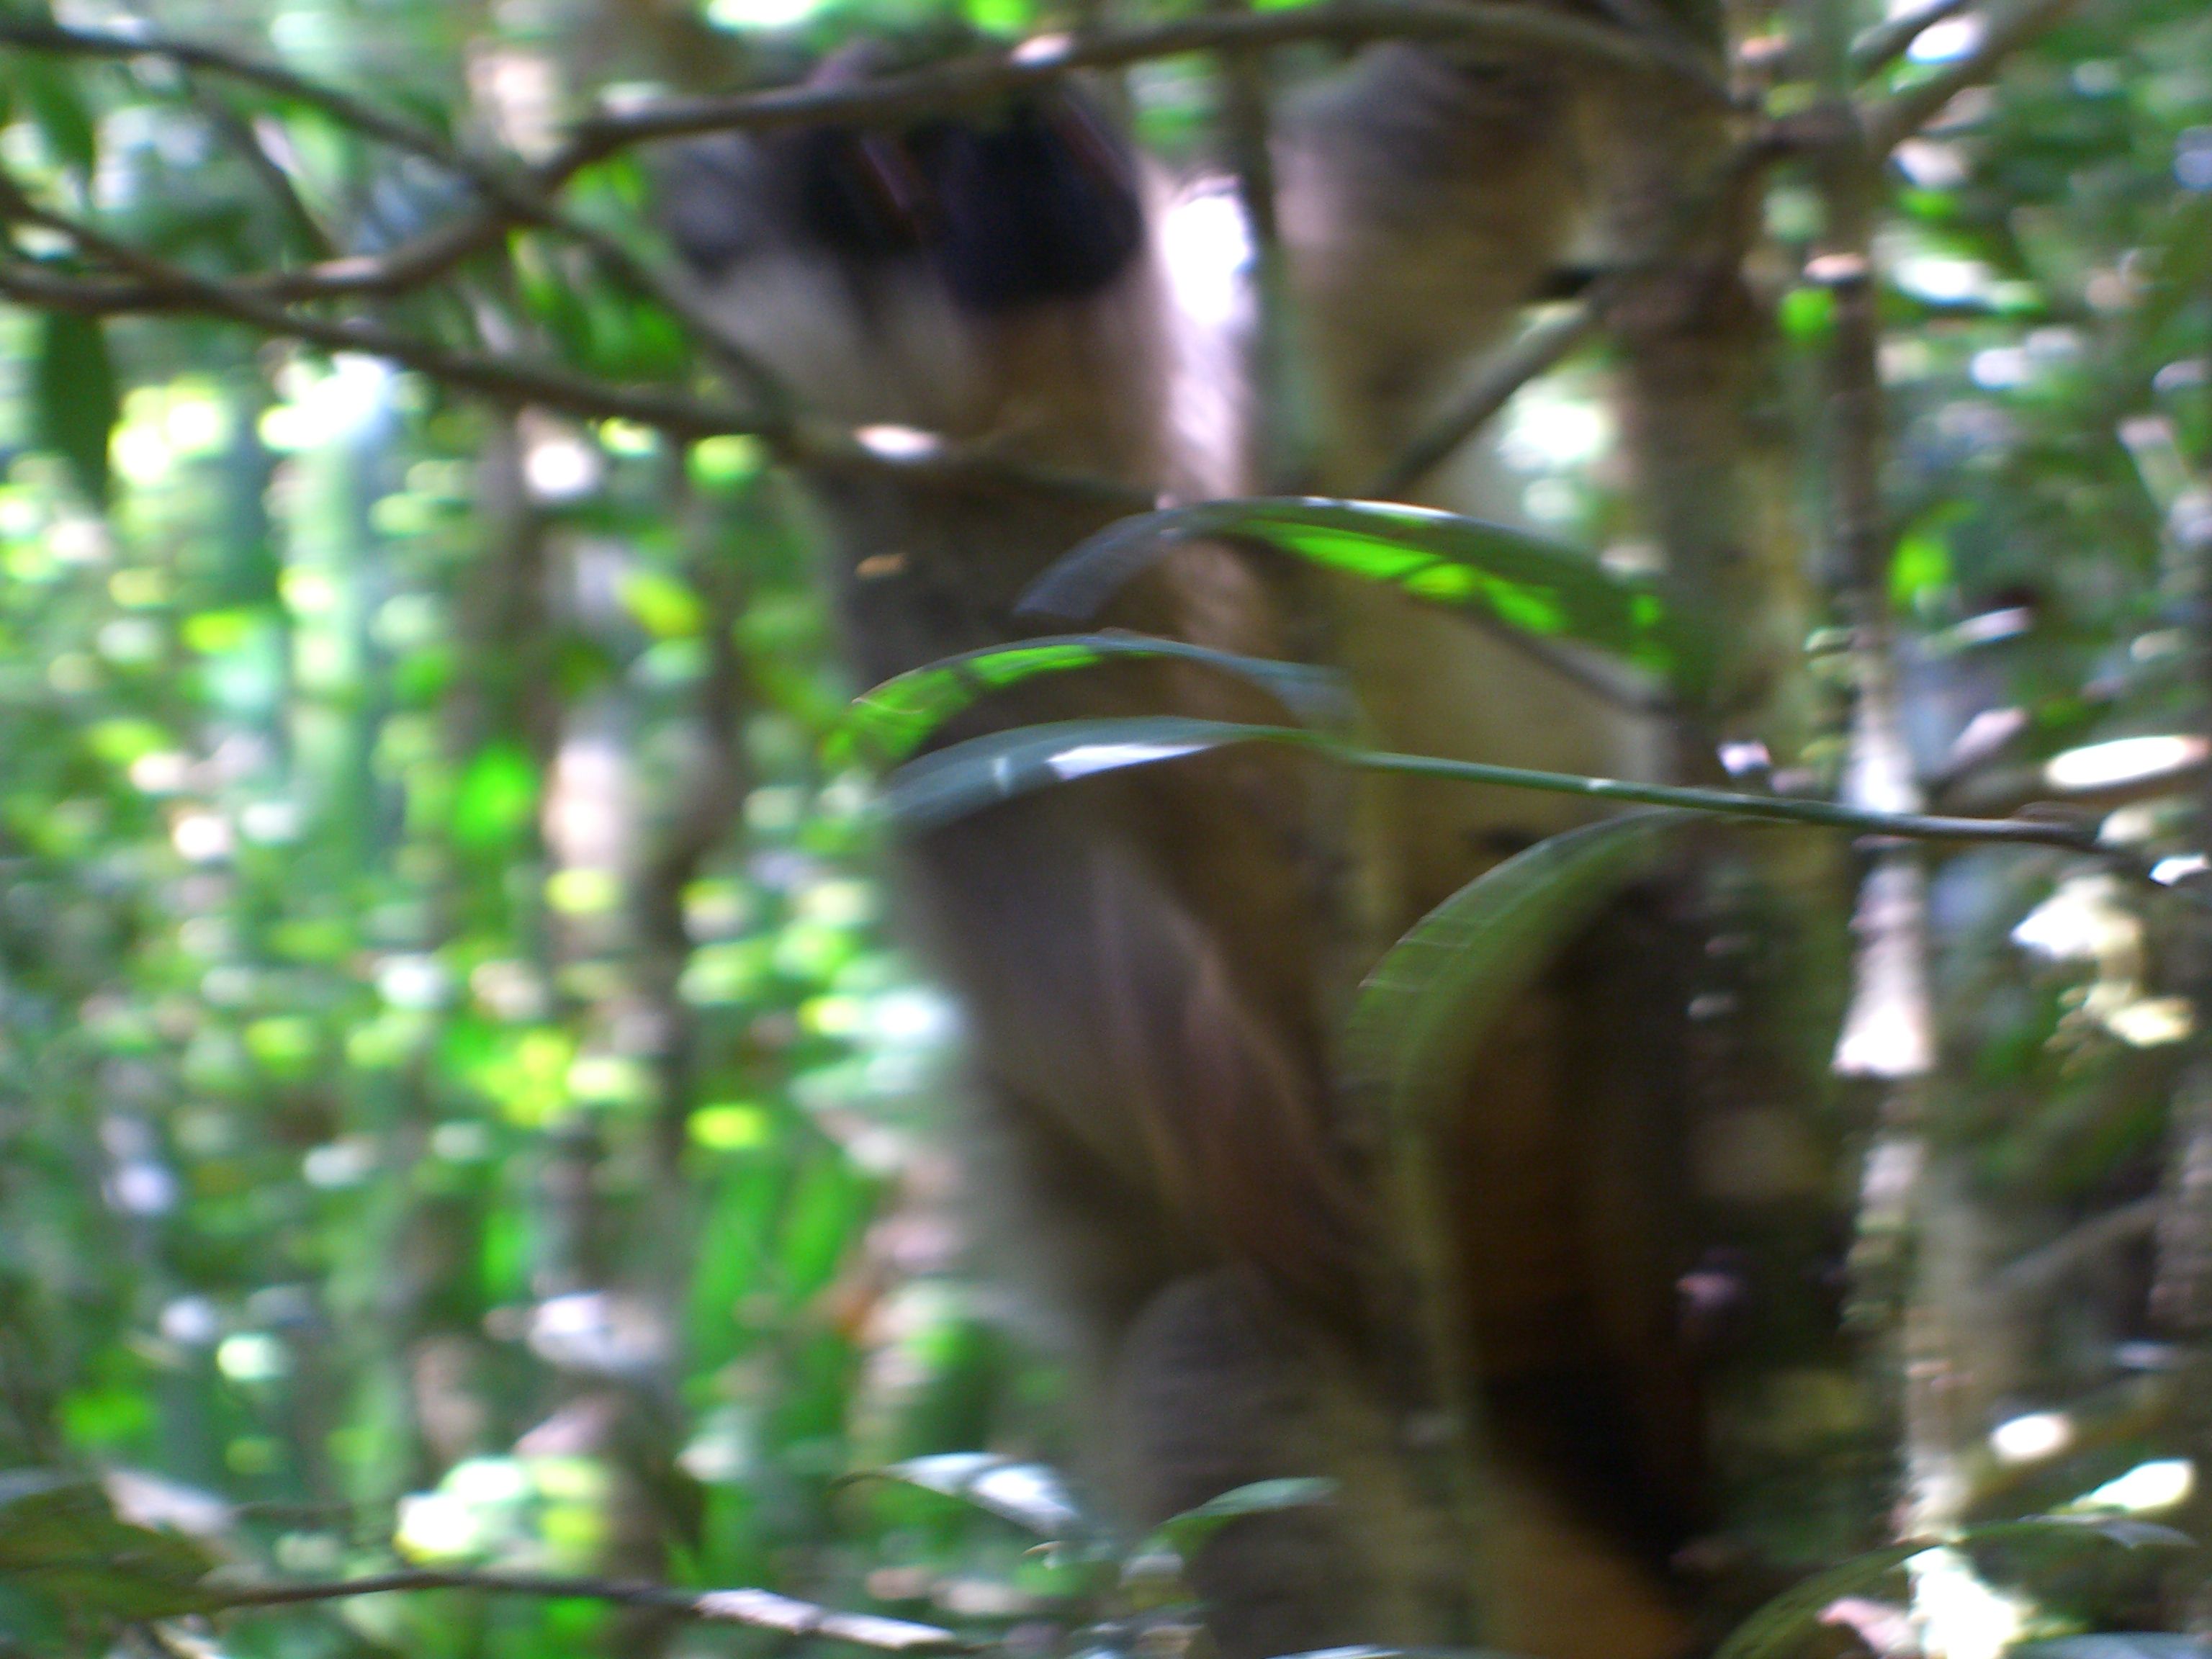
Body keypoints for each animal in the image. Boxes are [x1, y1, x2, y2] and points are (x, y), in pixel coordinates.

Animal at [661, 33, 1704, 1659]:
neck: (1099, 446)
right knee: (1221, 1347)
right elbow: (1285, 1175)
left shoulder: (1266, 303)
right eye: (887, 178)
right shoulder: (938, 695)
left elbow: (1491, 107)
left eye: (990, 103)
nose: (1013, 150)